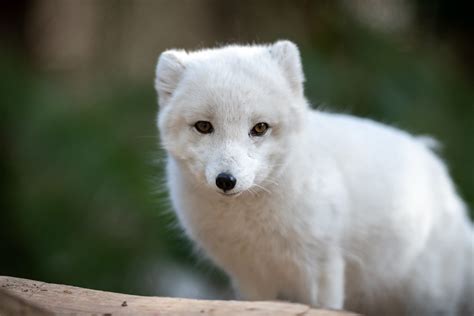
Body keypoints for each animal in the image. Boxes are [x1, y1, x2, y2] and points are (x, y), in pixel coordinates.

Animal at [154, 40, 472, 314]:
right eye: (203, 126)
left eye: (259, 128)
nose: (226, 180)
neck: (250, 227)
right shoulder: (251, 278)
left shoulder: (320, 266)